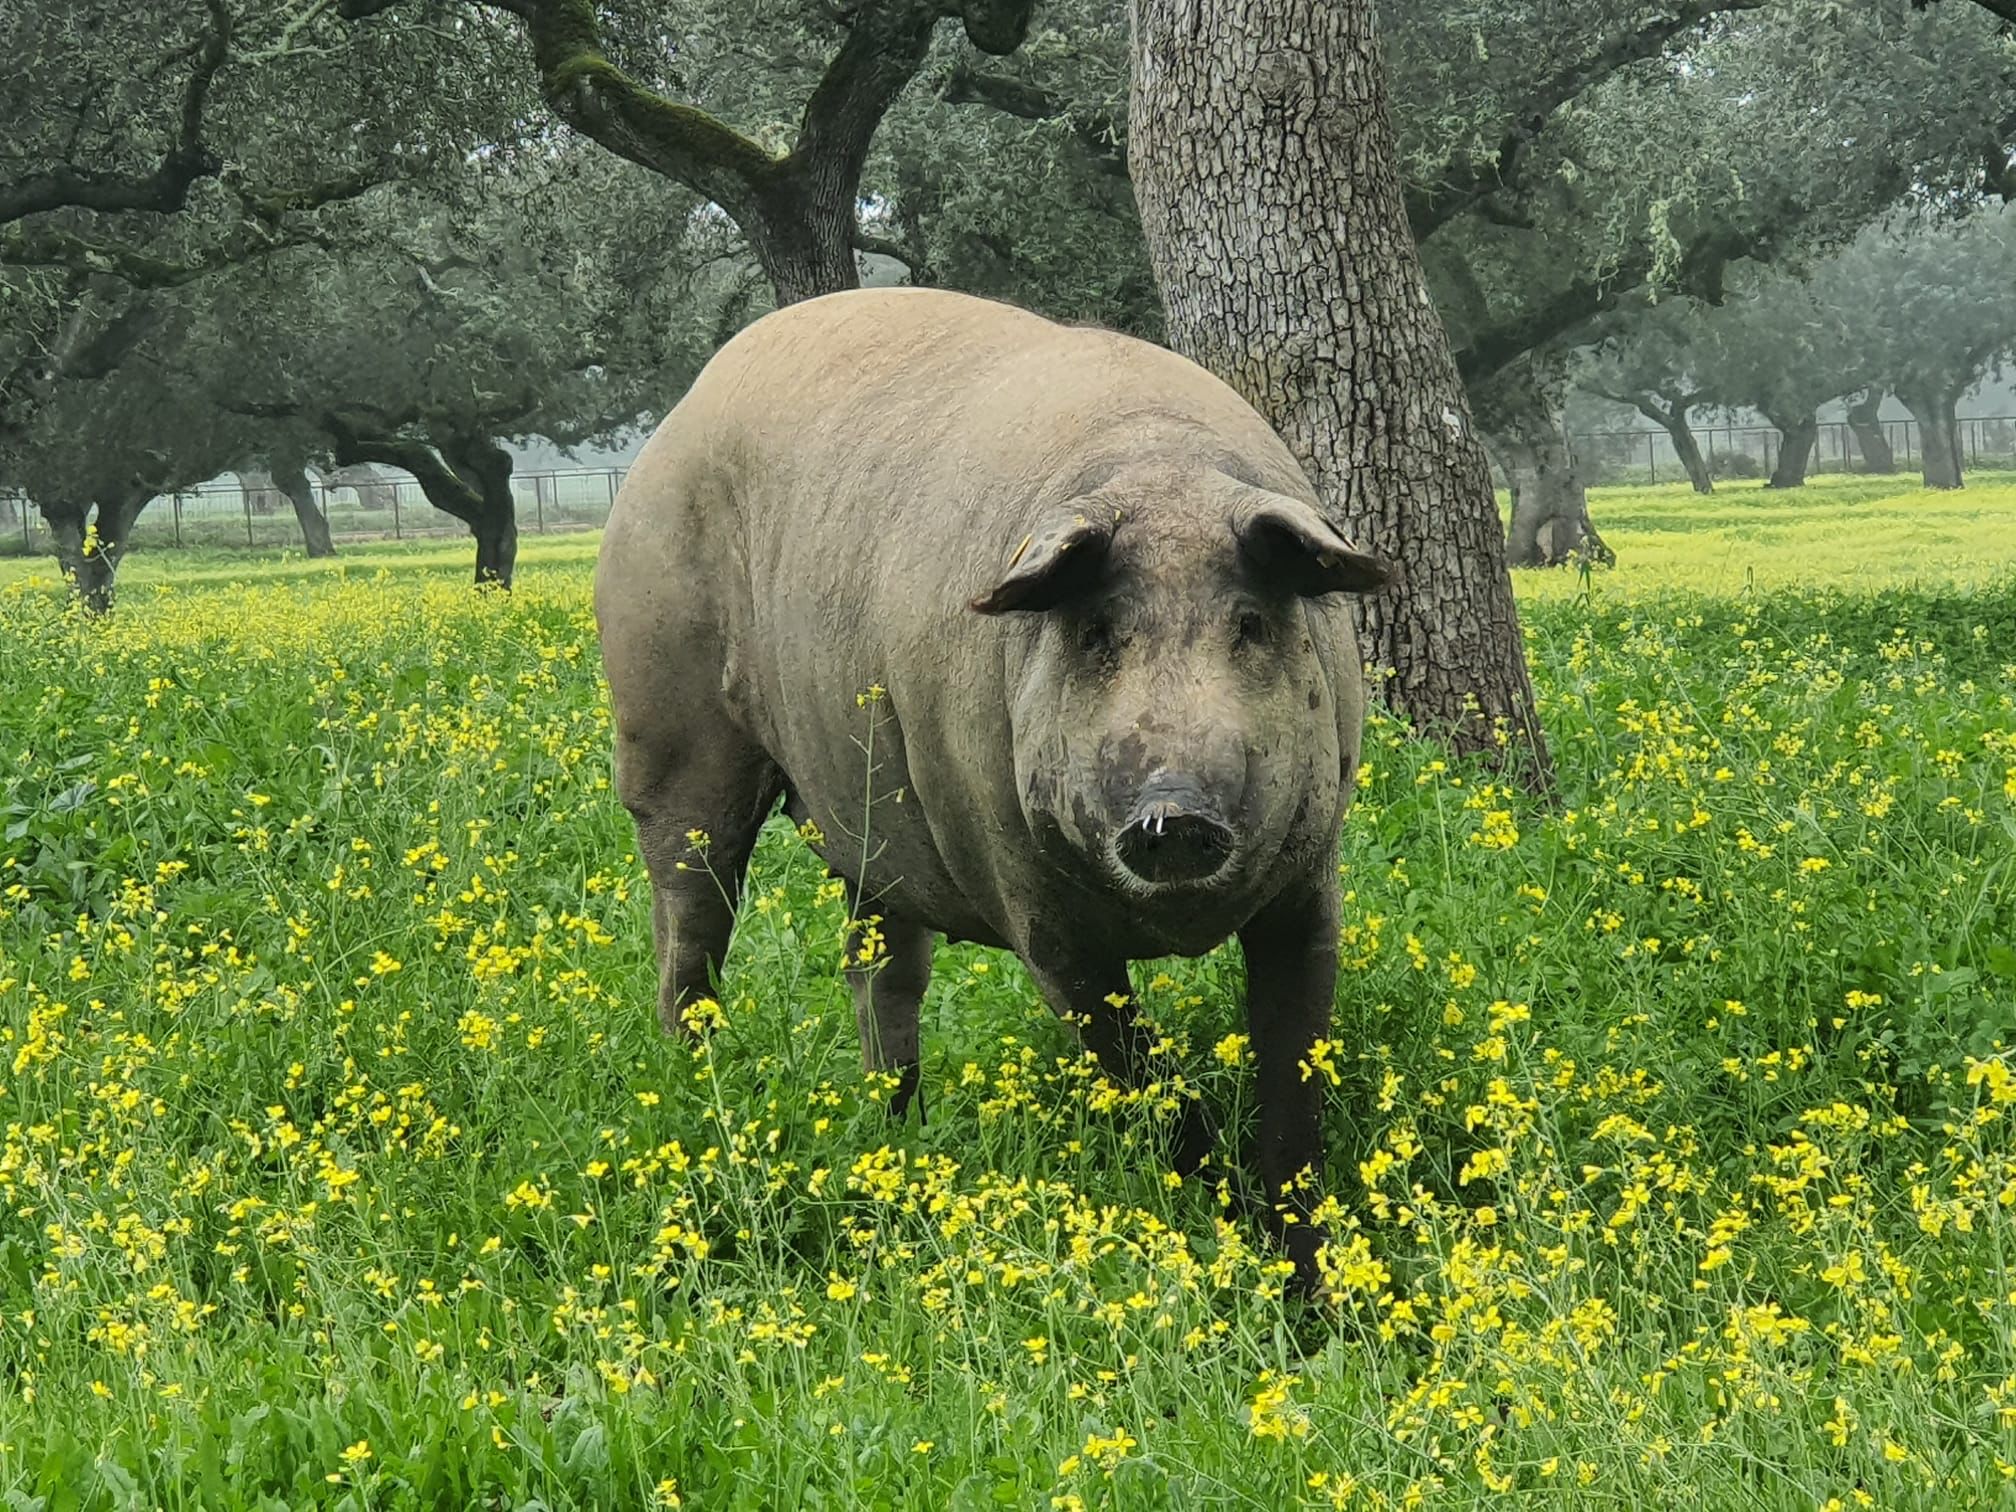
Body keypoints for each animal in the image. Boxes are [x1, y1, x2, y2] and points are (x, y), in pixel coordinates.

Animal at [588, 286, 1395, 1282]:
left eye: (1249, 623)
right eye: (1096, 631)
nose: (1174, 813)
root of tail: (674, 423)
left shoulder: (1311, 878)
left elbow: (1293, 1084)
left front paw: (1306, 1285)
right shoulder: (1032, 900)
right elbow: (1146, 1080)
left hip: (869, 829)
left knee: (879, 972)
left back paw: (899, 1134)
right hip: (665, 726)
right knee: (688, 922)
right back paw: (698, 1094)